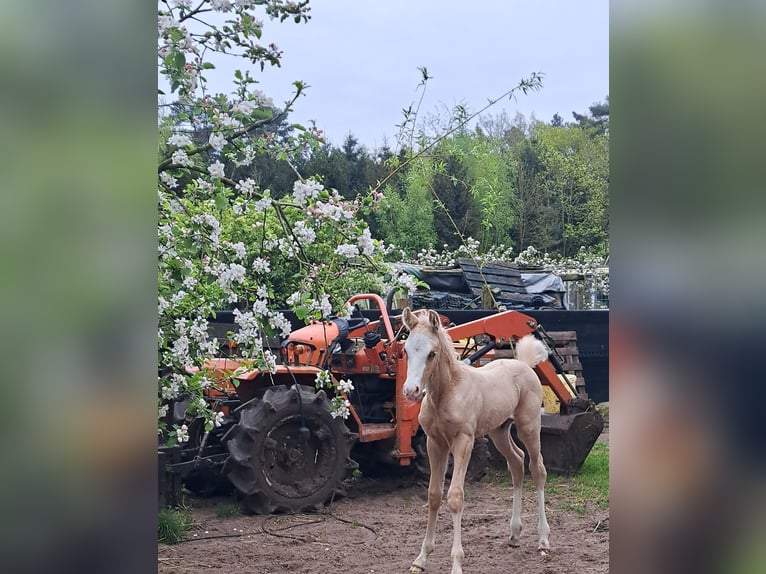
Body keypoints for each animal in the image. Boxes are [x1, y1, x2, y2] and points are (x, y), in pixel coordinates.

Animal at [402, 308, 552, 572]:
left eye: (432, 353)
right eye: (406, 351)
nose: (411, 391)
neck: (447, 392)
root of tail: (524, 364)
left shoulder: (464, 440)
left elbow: (455, 497)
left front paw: (456, 563)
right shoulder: (434, 442)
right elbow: (433, 495)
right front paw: (421, 558)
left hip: (529, 426)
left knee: (537, 469)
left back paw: (543, 540)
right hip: (499, 431)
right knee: (517, 462)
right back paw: (514, 533)